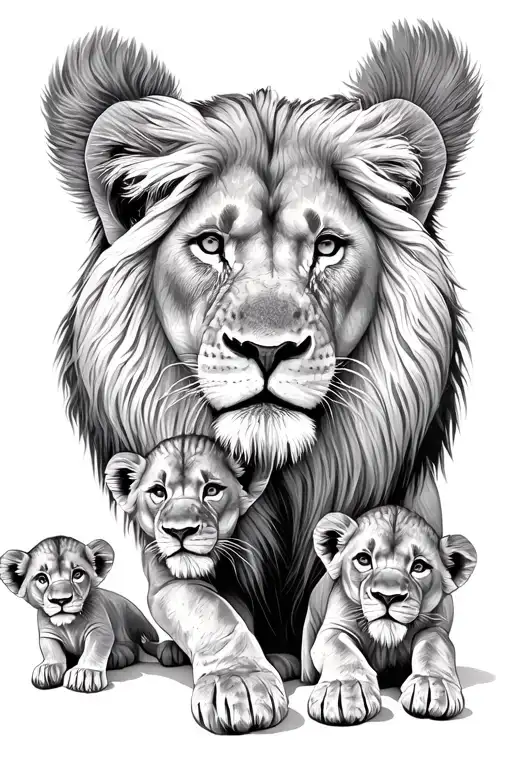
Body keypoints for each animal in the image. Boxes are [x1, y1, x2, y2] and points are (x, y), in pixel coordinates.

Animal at [0, 535, 160, 693]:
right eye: (42, 579)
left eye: (77, 574)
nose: (61, 600)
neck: (68, 625)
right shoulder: (47, 634)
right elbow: (51, 649)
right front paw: (48, 667)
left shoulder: (99, 628)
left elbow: (94, 648)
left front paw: (84, 673)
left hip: (134, 617)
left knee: (135, 647)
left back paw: (118, 654)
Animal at [301, 506, 477, 724]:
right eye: (363, 560)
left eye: (419, 567)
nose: (387, 596)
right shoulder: (335, 628)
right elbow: (341, 649)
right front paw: (344, 690)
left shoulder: (436, 628)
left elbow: (433, 647)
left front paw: (433, 686)